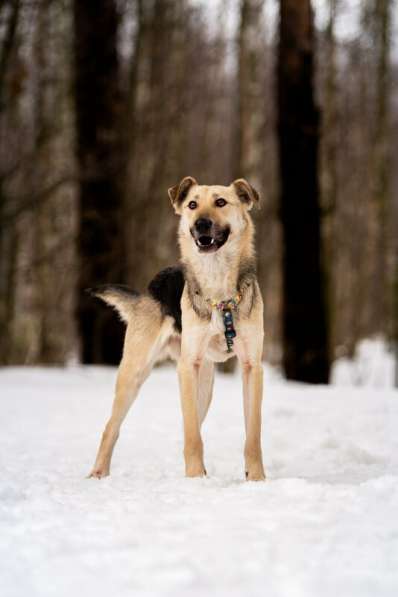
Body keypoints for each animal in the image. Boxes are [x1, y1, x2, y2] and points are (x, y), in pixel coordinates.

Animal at [88, 176, 266, 480]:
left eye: (221, 202)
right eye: (192, 205)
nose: (201, 223)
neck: (218, 290)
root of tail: (147, 291)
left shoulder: (252, 367)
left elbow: (252, 435)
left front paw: (256, 479)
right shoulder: (187, 367)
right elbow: (192, 435)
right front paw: (195, 478)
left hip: (204, 384)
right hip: (135, 374)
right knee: (112, 427)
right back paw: (98, 473)